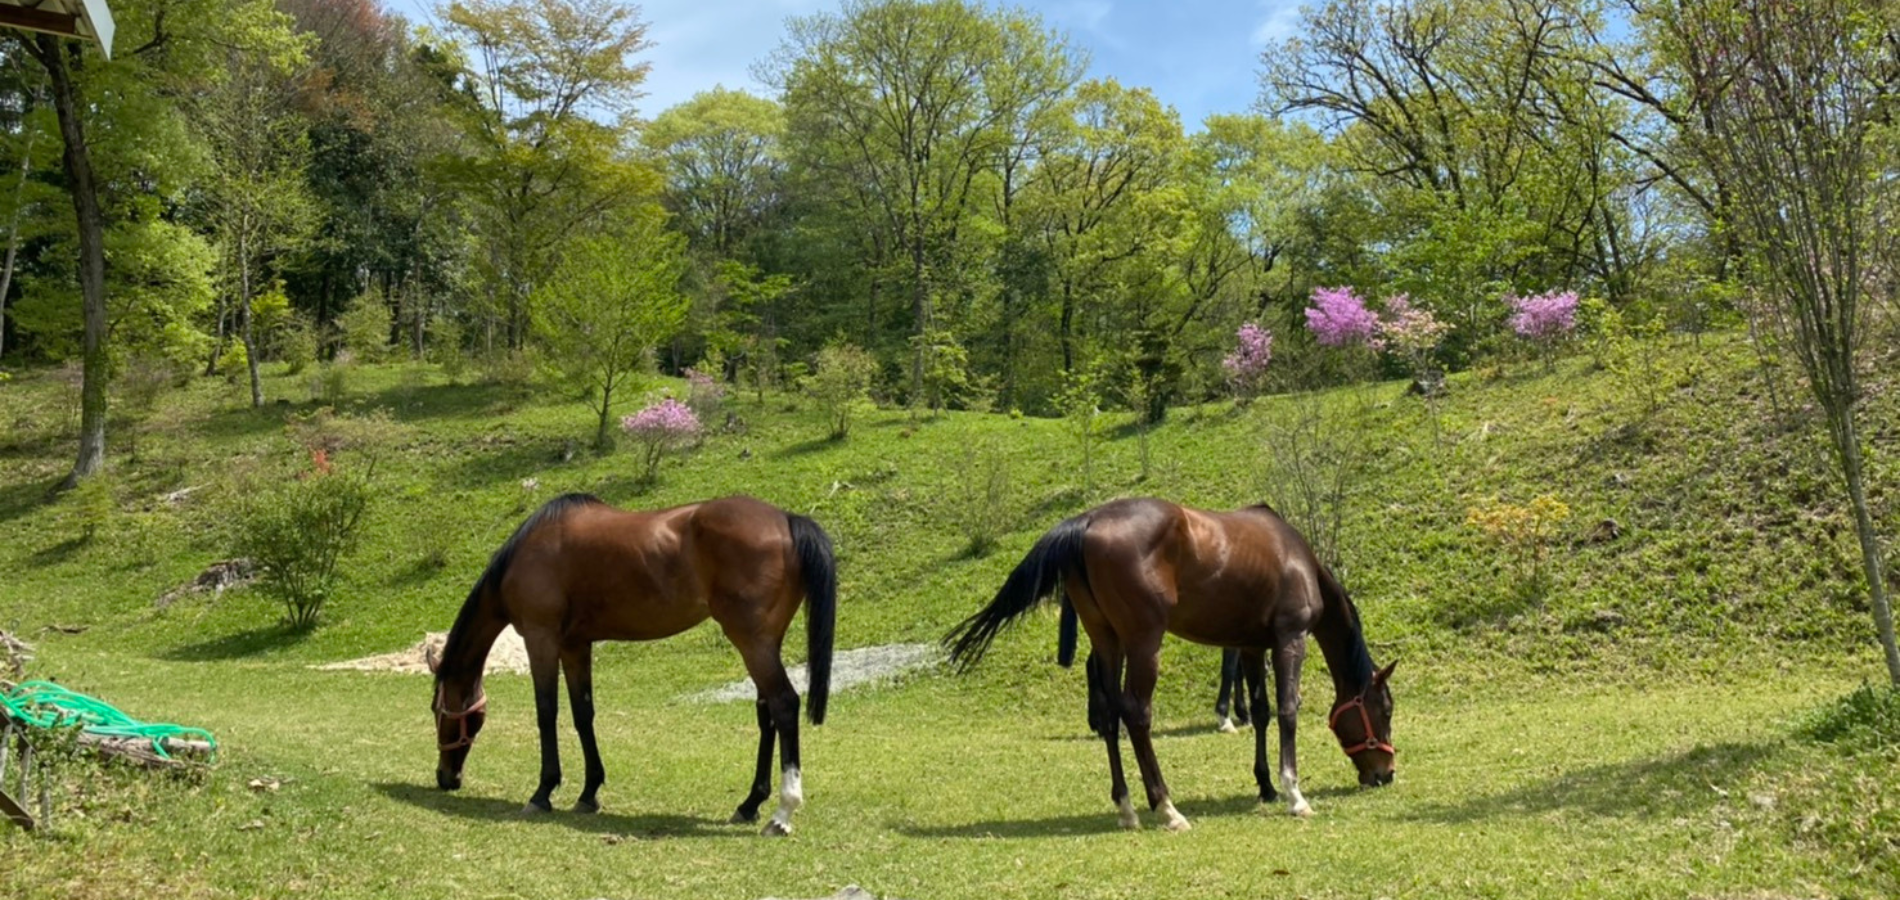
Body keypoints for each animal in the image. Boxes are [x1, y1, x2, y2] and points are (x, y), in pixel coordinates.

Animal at [431, 493, 832, 835]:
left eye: (437, 712)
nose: (445, 778)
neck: (530, 551)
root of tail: (787, 520)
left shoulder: (540, 639)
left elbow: (546, 712)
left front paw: (542, 792)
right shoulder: (576, 646)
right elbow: (583, 714)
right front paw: (588, 793)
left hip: (752, 643)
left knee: (784, 705)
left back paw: (782, 814)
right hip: (763, 645)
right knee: (766, 713)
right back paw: (749, 804)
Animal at [957, 497, 1390, 827]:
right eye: (1385, 709)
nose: (1385, 774)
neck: (1295, 557)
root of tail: (1088, 521)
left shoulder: (1252, 646)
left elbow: (1262, 712)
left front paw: (1265, 785)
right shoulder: (1290, 639)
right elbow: (1287, 710)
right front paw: (1294, 794)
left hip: (1108, 641)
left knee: (1110, 713)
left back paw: (1127, 807)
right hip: (1144, 644)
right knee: (1136, 713)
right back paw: (1166, 807)